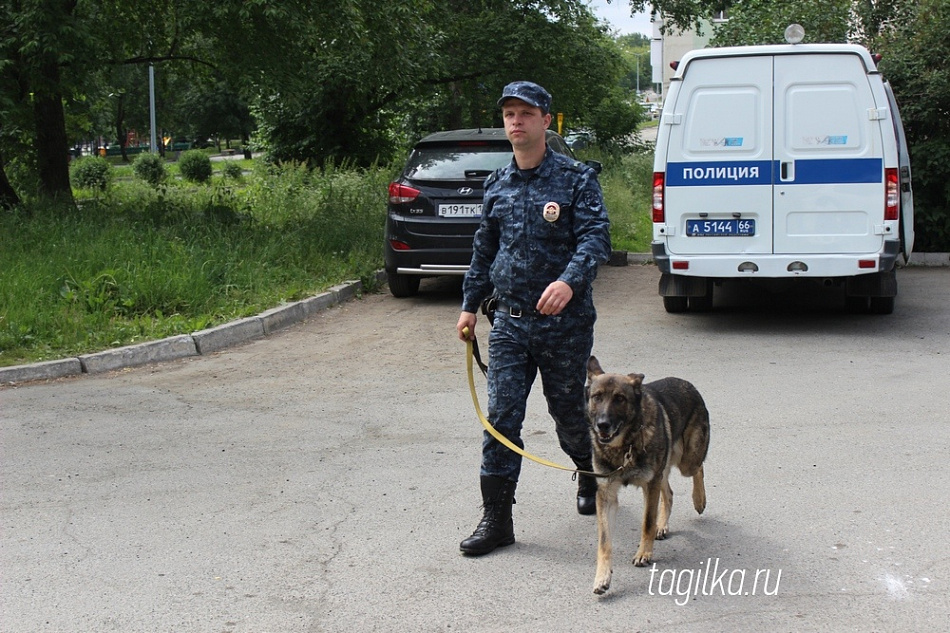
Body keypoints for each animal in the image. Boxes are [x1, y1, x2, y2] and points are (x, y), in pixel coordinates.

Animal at [588, 358, 712, 596]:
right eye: (597, 396)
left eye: (620, 398)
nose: (603, 424)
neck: (625, 445)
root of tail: (687, 383)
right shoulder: (607, 495)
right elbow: (604, 542)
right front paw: (602, 577)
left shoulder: (650, 484)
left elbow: (647, 522)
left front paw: (644, 554)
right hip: (663, 470)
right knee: (669, 493)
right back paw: (662, 525)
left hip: (686, 460)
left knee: (698, 469)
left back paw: (699, 500)